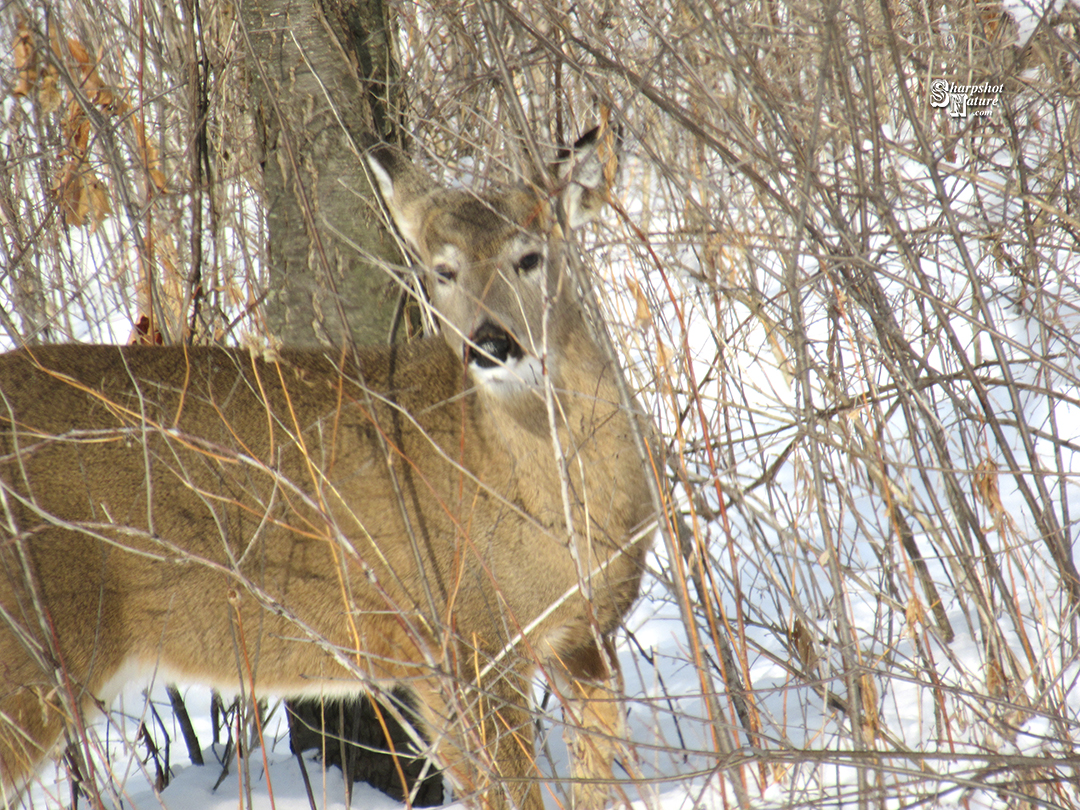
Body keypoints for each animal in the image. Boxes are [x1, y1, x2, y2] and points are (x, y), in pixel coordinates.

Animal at [0, 128, 652, 810]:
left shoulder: (585, 632)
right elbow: (508, 791)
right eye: (442, 271)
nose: (491, 343)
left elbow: (597, 767)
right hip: (31, 647)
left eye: (530, 257)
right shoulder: (462, 641)